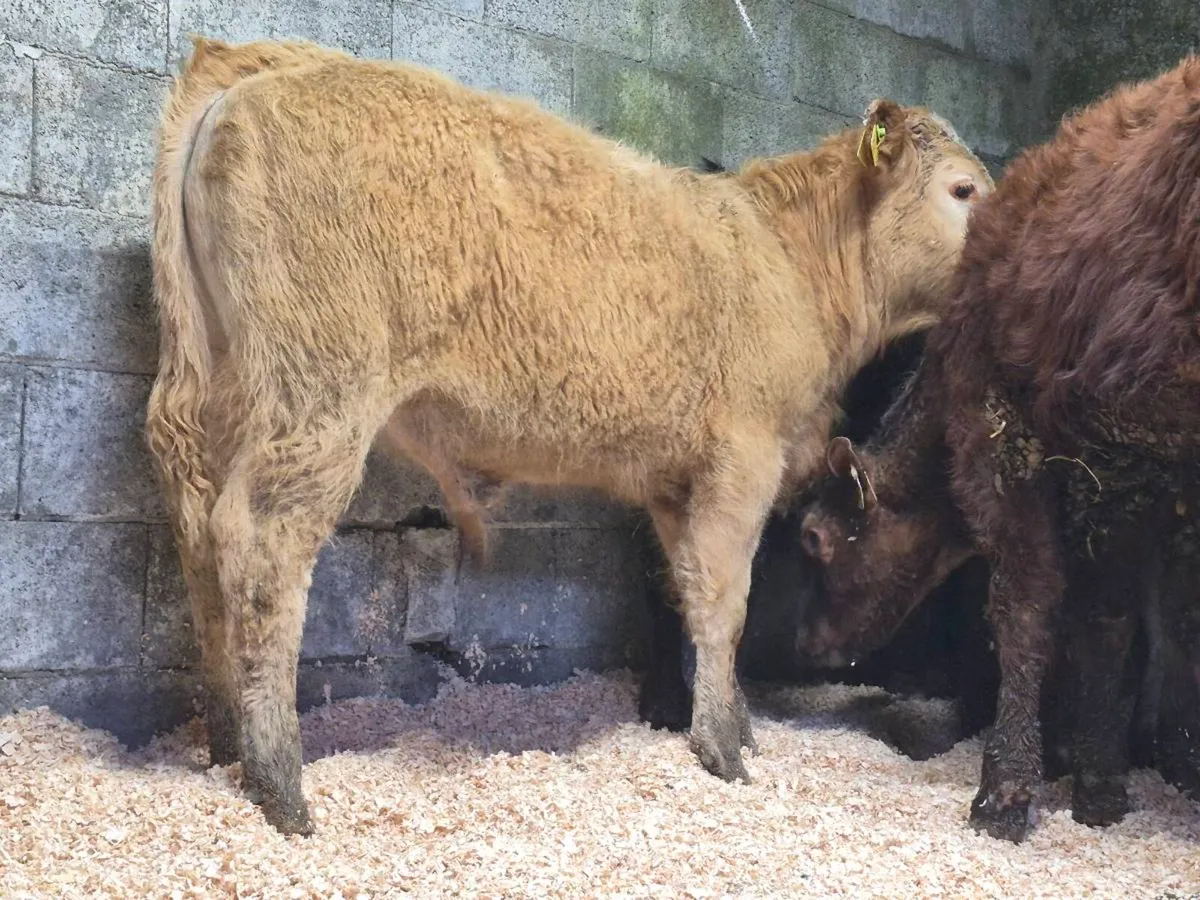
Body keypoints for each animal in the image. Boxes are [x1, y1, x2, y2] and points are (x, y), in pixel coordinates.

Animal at [145, 35, 992, 834]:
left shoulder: (674, 480)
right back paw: (280, 783)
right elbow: (726, 601)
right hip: (318, 389)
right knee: (261, 545)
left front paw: (733, 726)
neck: (791, 260)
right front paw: (722, 751)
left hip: (216, 387)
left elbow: (686, 591)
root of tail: (261, 65)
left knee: (199, 533)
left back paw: (227, 745)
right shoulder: (742, 453)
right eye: (964, 189)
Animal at [793, 56, 1200, 842]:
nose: (809, 641)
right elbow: (1109, 621)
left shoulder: (1002, 436)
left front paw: (1006, 792)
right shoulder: (1128, 474)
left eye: (815, 538)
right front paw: (1100, 785)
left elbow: (1026, 605)